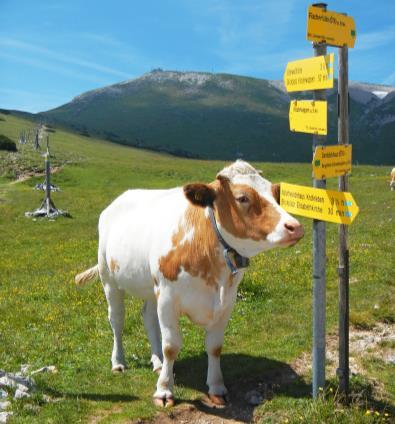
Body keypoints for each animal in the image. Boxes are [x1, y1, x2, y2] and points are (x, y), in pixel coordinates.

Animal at [76, 160, 304, 408]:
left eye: (274, 193)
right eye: (242, 197)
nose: (295, 226)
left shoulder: (227, 302)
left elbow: (214, 347)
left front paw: (217, 388)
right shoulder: (168, 297)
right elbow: (171, 346)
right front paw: (164, 391)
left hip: (151, 286)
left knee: (148, 317)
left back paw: (157, 362)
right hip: (109, 279)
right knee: (117, 320)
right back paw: (118, 362)